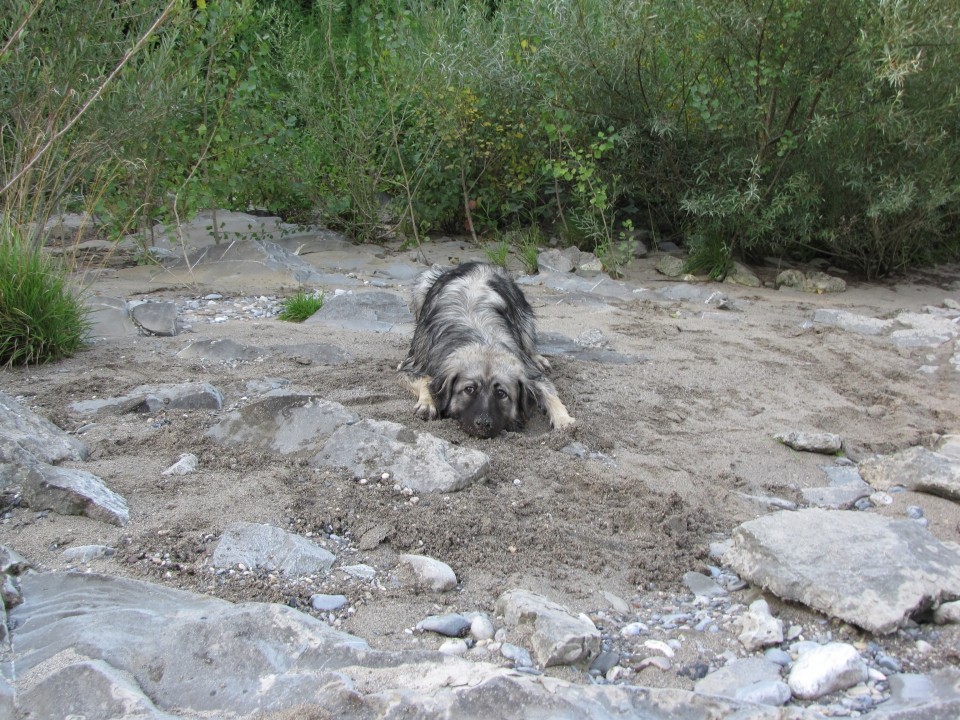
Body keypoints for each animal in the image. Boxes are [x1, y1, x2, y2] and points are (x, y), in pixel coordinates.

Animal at [396, 262, 568, 436]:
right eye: (469, 390)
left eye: (501, 393)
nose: (483, 423)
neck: (482, 340)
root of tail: (477, 264)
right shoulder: (412, 366)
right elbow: (423, 379)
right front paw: (428, 402)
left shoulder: (529, 372)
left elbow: (549, 392)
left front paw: (563, 419)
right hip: (422, 285)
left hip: (523, 318)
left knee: (528, 341)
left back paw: (537, 358)